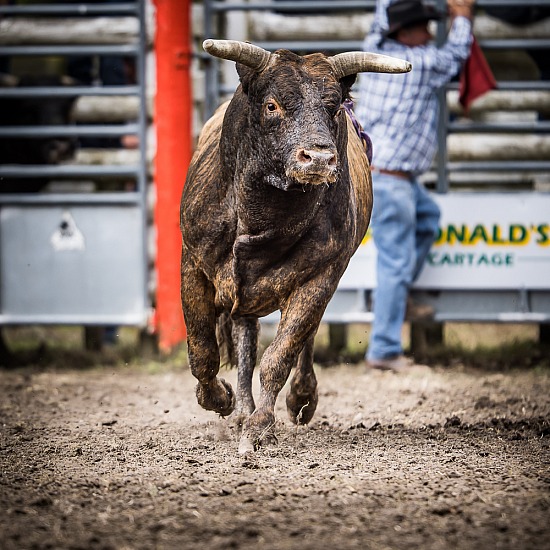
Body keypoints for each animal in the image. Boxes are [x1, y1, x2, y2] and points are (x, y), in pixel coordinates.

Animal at [181, 37, 410, 452]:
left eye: (333, 106)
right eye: (272, 105)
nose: (318, 157)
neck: (261, 217)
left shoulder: (320, 277)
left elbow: (281, 355)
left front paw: (261, 424)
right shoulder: (193, 264)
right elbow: (203, 350)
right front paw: (220, 399)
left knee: (300, 339)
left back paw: (298, 398)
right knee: (245, 339)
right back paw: (240, 408)